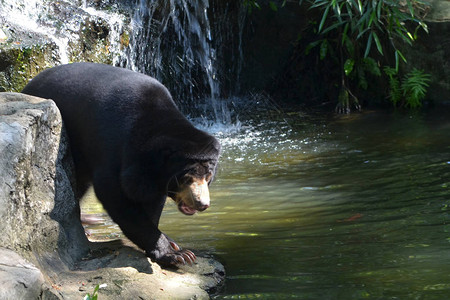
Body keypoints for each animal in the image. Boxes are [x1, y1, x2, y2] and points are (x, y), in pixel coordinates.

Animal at [22, 62, 220, 268]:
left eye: (207, 177)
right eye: (187, 178)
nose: (202, 204)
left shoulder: (153, 176)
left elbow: (150, 200)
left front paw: (170, 245)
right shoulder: (114, 147)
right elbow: (114, 194)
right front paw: (177, 253)